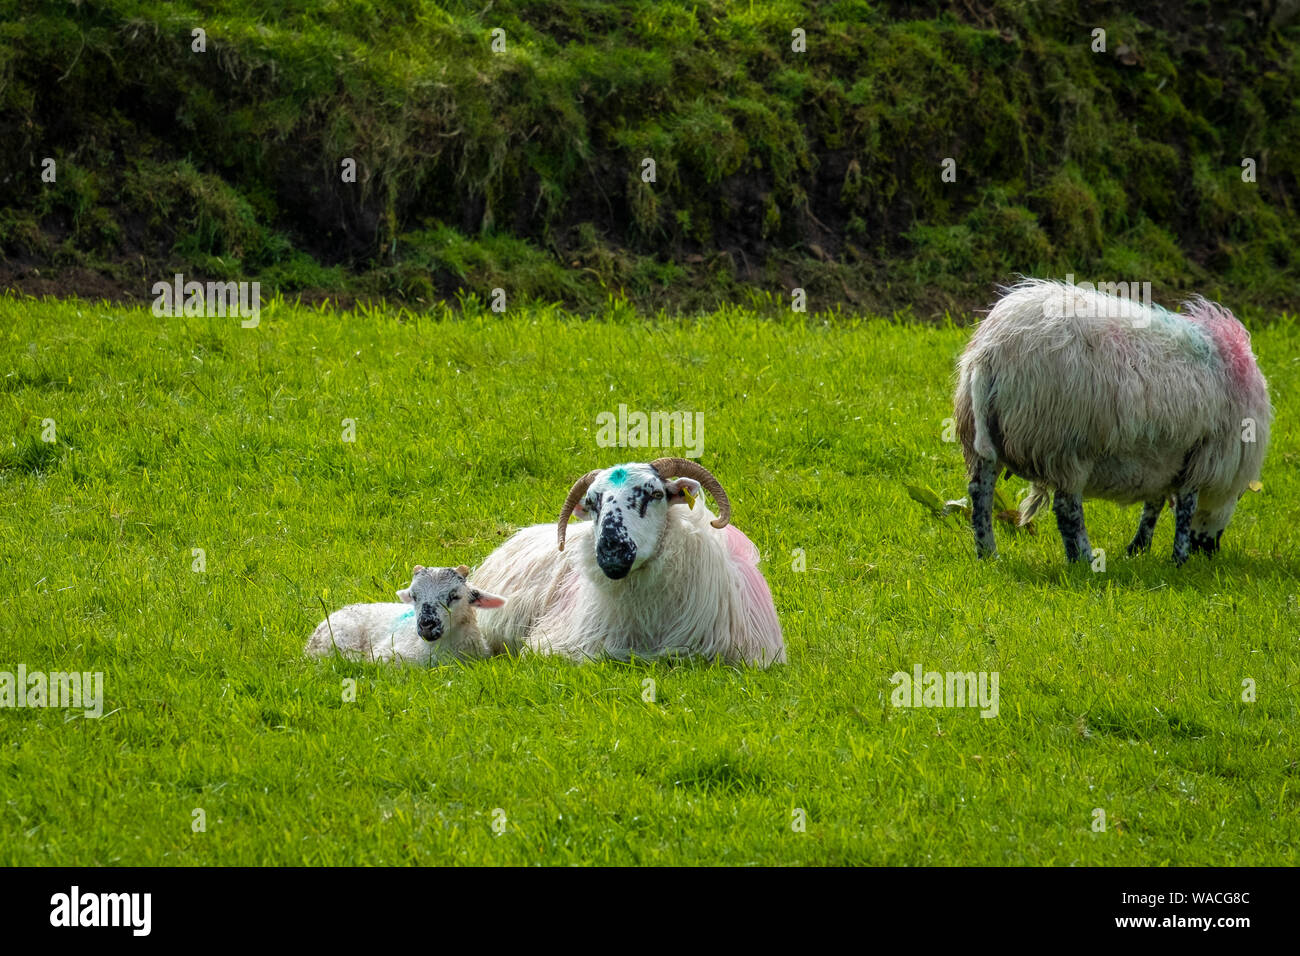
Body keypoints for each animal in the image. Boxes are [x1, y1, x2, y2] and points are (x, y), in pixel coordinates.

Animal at [956, 277, 1268, 564]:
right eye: (1240, 496)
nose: (1209, 551)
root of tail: (991, 353)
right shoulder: (1201, 453)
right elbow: (1185, 508)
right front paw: (1179, 559)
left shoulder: (1164, 456)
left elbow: (1154, 503)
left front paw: (1139, 548)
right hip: (1064, 443)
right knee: (1066, 506)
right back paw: (1083, 558)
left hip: (984, 432)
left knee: (980, 492)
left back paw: (988, 554)